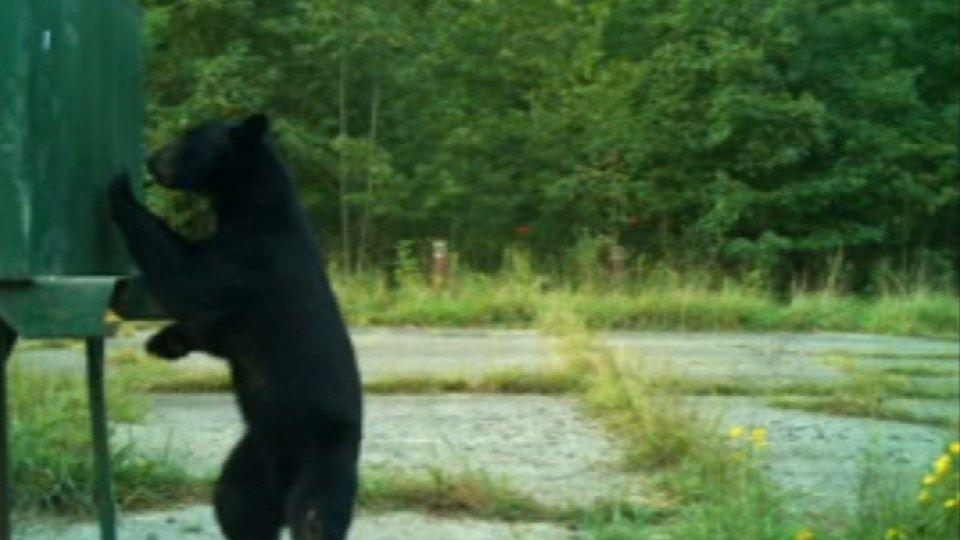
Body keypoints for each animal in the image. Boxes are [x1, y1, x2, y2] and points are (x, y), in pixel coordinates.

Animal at [109, 114, 362, 540]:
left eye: (189, 140)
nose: (151, 160)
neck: (257, 210)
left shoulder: (251, 260)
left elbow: (189, 275)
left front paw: (121, 192)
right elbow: (209, 328)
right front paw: (161, 343)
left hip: (324, 459)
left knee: (314, 516)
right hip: (253, 456)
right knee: (235, 504)